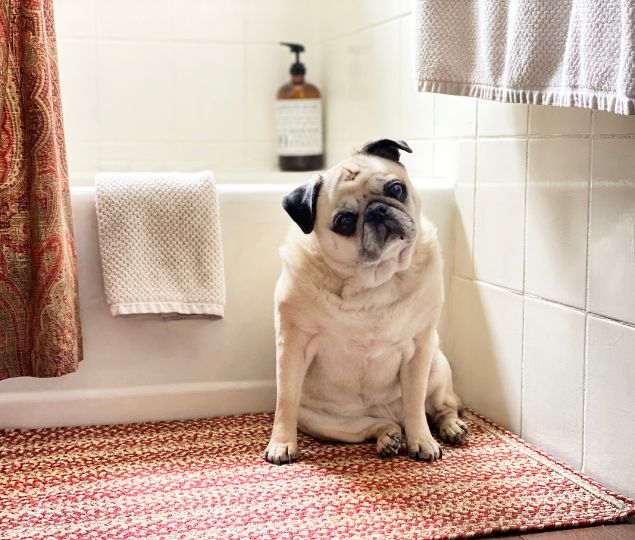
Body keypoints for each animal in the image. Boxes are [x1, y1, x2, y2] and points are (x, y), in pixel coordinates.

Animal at [264, 139, 468, 464]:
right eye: (345, 221)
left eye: (396, 189)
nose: (377, 210)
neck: (373, 279)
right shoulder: (292, 344)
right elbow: (285, 400)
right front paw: (281, 443)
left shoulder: (419, 349)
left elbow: (415, 403)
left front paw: (422, 440)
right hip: (323, 421)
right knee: (375, 426)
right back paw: (388, 438)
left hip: (437, 368)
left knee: (441, 407)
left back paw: (450, 427)